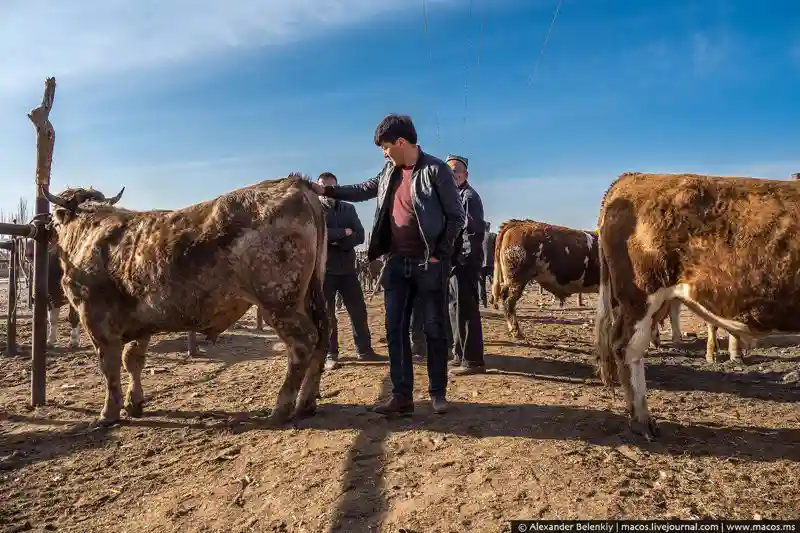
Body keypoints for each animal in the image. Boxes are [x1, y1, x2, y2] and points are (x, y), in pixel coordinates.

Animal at [42, 172, 330, 426]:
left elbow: (109, 365)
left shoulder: (95, 317)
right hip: (309, 298)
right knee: (322, 338)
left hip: (278, 301)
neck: (89, 234)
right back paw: (306, 403)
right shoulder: (141, 320)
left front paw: (108, 412)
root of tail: (295, 183)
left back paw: (281, 408)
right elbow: (132, 359)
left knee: (303, 343)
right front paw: (134, 403)